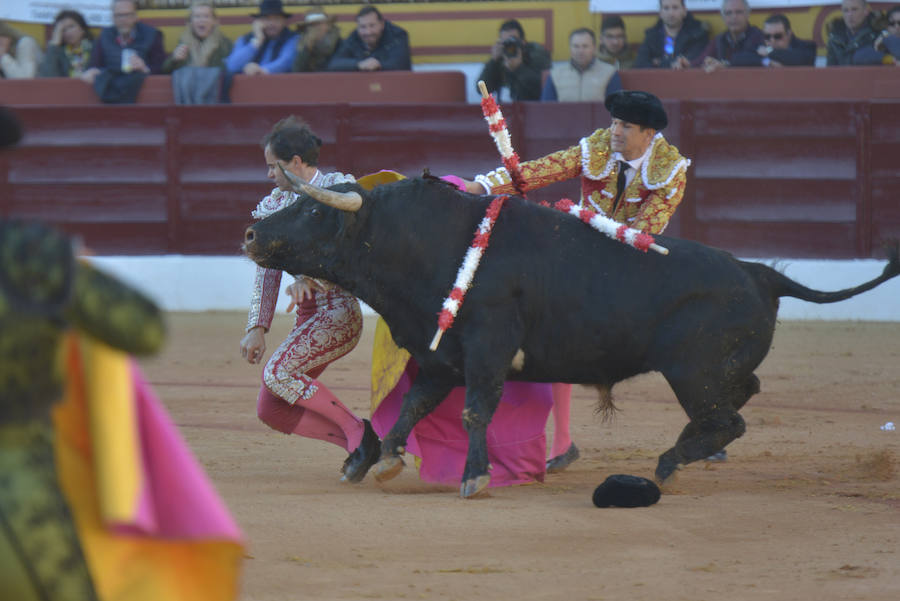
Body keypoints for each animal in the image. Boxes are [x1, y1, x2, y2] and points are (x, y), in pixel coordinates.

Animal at [243, 177, 896, 496]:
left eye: (312, 211)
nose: (251, 232)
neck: (428, 244)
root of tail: (760, 272)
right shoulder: (444, 352)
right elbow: (415, 405)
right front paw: (379, 460)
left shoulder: (486, 346)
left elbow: (475, 410)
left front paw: (474, 477)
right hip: (717, 371)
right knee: (740, 400)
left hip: (695, 371)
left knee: (727, 418)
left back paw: (668, 465)